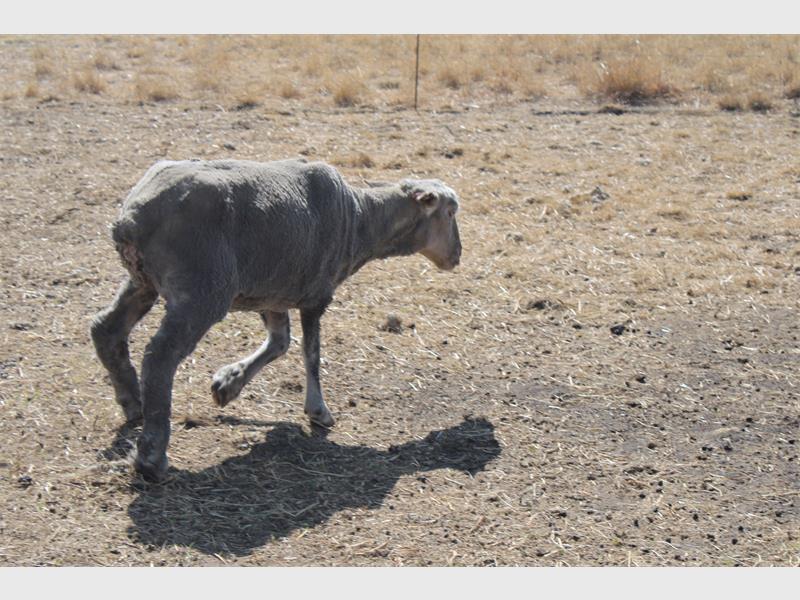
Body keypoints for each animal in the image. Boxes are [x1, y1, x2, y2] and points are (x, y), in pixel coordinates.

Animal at [91, 158, 462, 481]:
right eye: (450, 211)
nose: (457, 255)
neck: (360, 220)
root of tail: (131, 218)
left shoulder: (274, 293)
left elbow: (280, 342)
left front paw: (228, 383)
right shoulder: (316, 294)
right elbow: (311, 354)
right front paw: (318, 411)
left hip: (144, 281)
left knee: (105, 329)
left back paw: (133, 403)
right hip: (201, 290)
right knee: (159, 357)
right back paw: (151, 458)